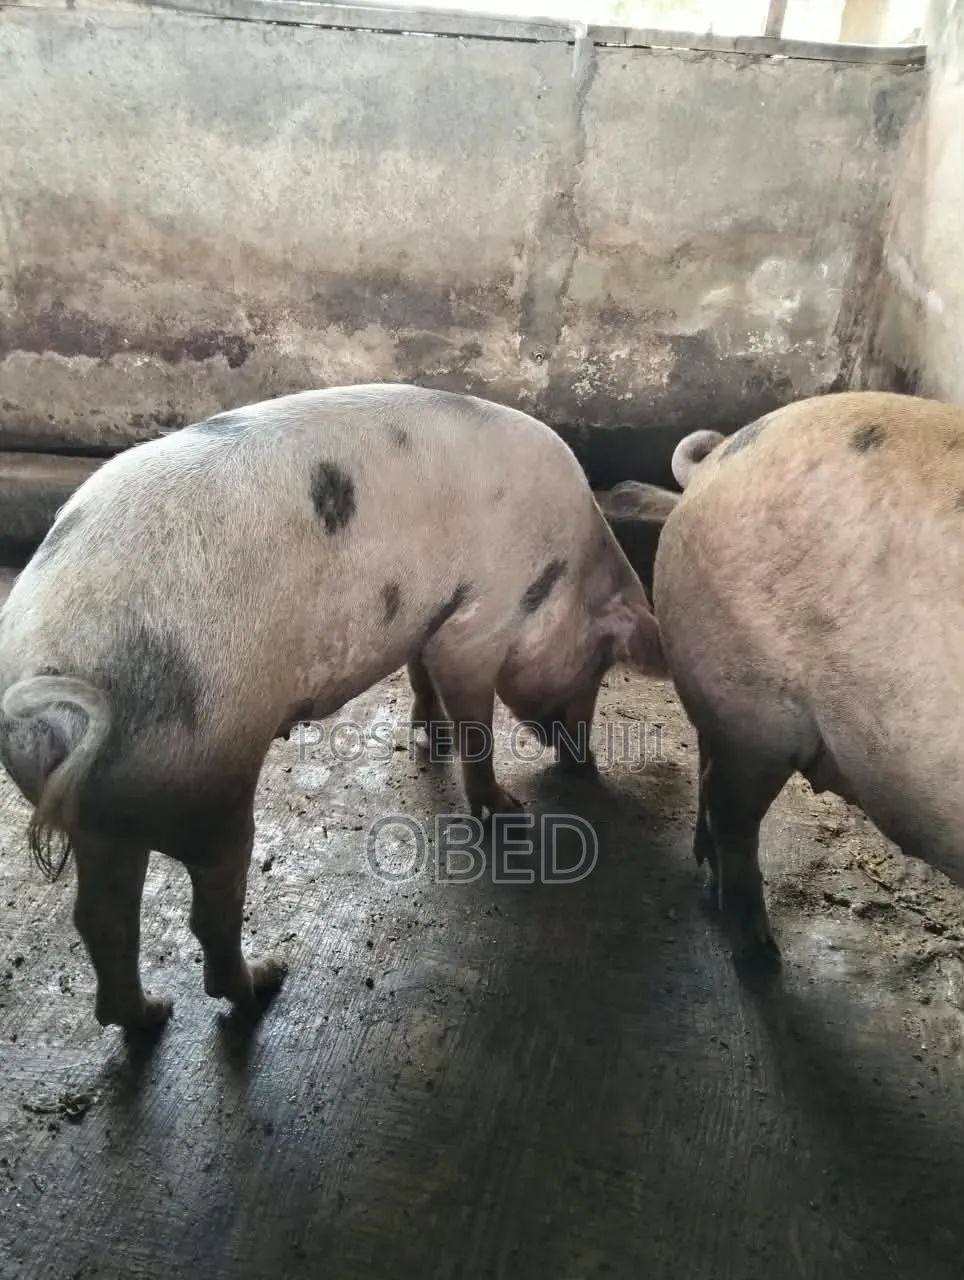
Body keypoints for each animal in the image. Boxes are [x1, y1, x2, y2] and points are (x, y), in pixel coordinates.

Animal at [0, 382, 667, 1031]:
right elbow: (474, 722)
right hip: (202, 779)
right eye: (601, 665)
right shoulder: (479, 623)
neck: (565, 570)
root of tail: (42, 689)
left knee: (101, 920)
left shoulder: (427, 620)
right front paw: (507, 811)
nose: (587, 764)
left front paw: (430, 739)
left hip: (104, 816)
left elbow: (422, 676)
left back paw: (151, 1016)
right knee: (207, 912)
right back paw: (264, 983)